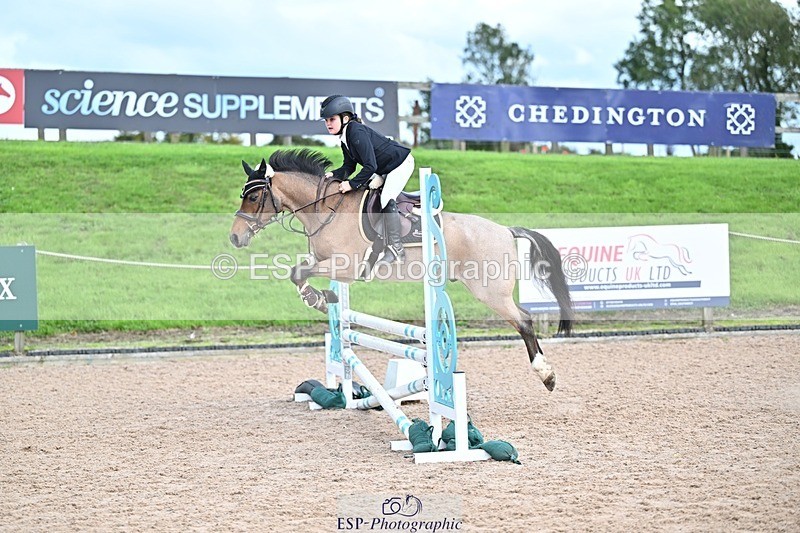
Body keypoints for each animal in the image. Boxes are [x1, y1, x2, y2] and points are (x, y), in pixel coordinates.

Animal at [229, 149, 573, 391]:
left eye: (255, 196)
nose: (235, 237)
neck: (327, 209)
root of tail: (504, 229)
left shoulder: (348, 266)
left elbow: (298, 273)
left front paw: (319, 298)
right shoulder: (325, 262)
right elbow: (297, 273)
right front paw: (323, 298)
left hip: (490, 291)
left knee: (524, 320)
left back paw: (547, 375)